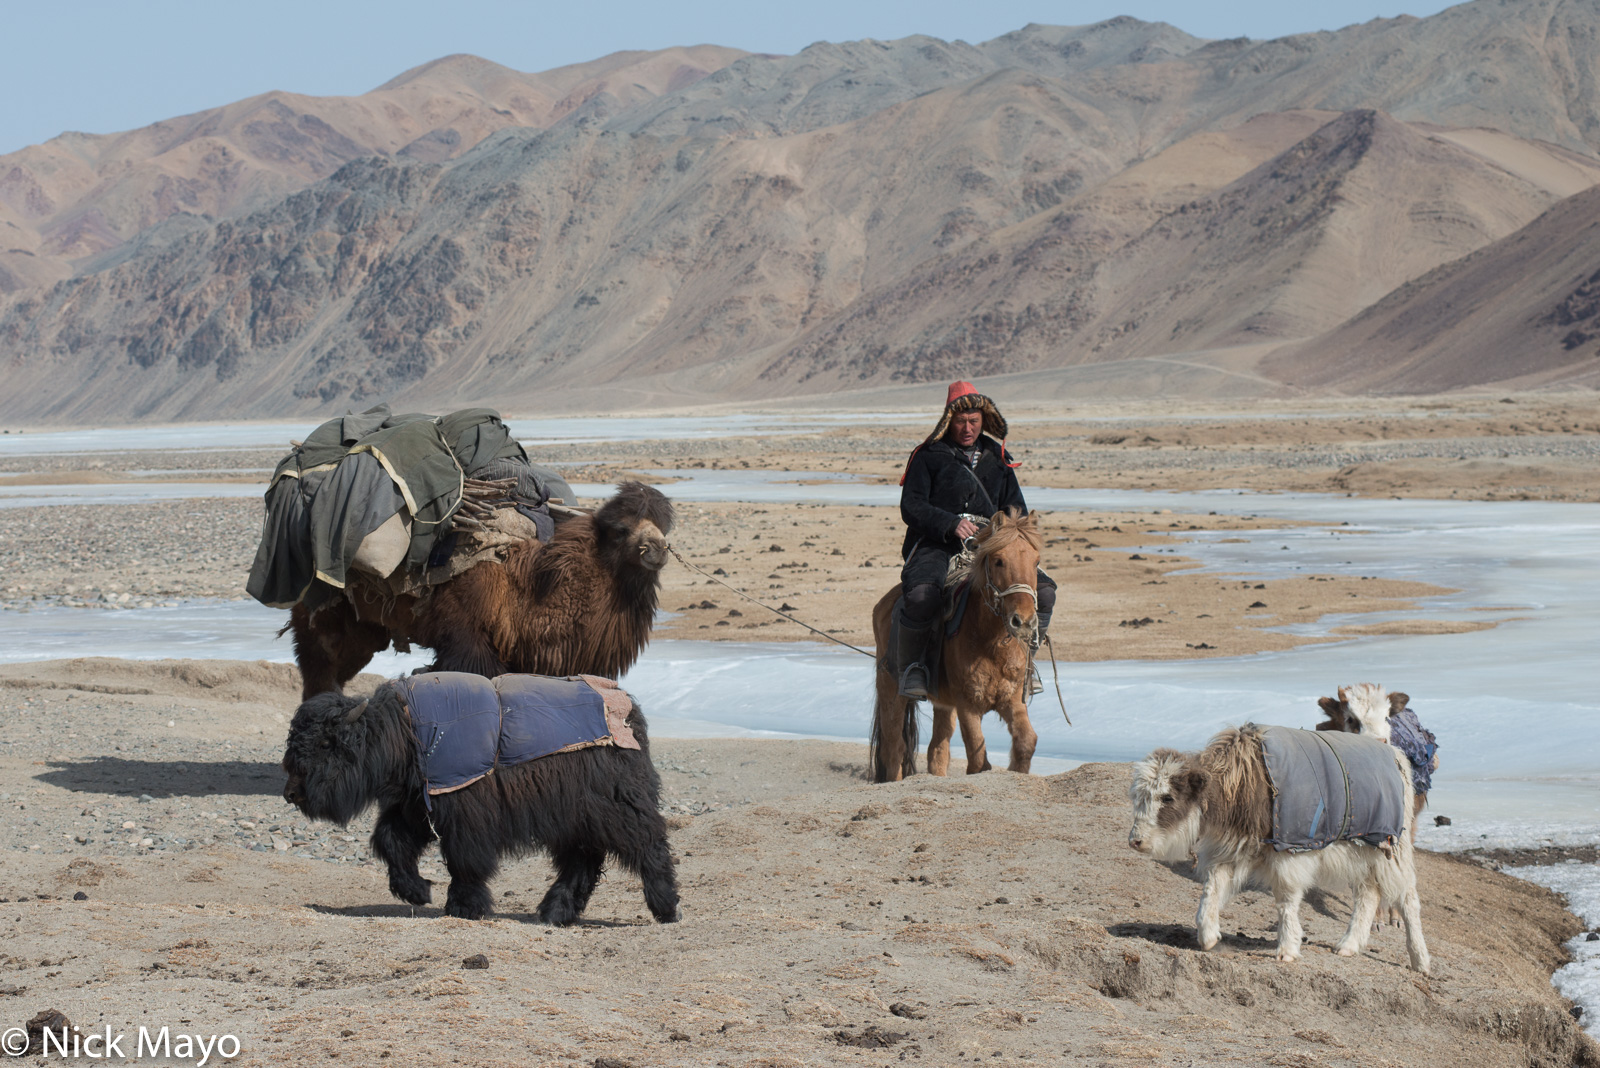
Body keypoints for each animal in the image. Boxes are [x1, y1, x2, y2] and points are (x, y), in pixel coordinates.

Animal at [870, 511, 1043, 783]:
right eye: (998, 561)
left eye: (1036, 562)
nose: (1024, 621)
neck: (991, 642)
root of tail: (885, 603)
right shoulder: (968, 704)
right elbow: (978, 757)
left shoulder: (1013, 700)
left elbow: (1026, 743)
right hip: (891, 691)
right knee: (894, 747)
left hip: (943, 704)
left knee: (936, 750)